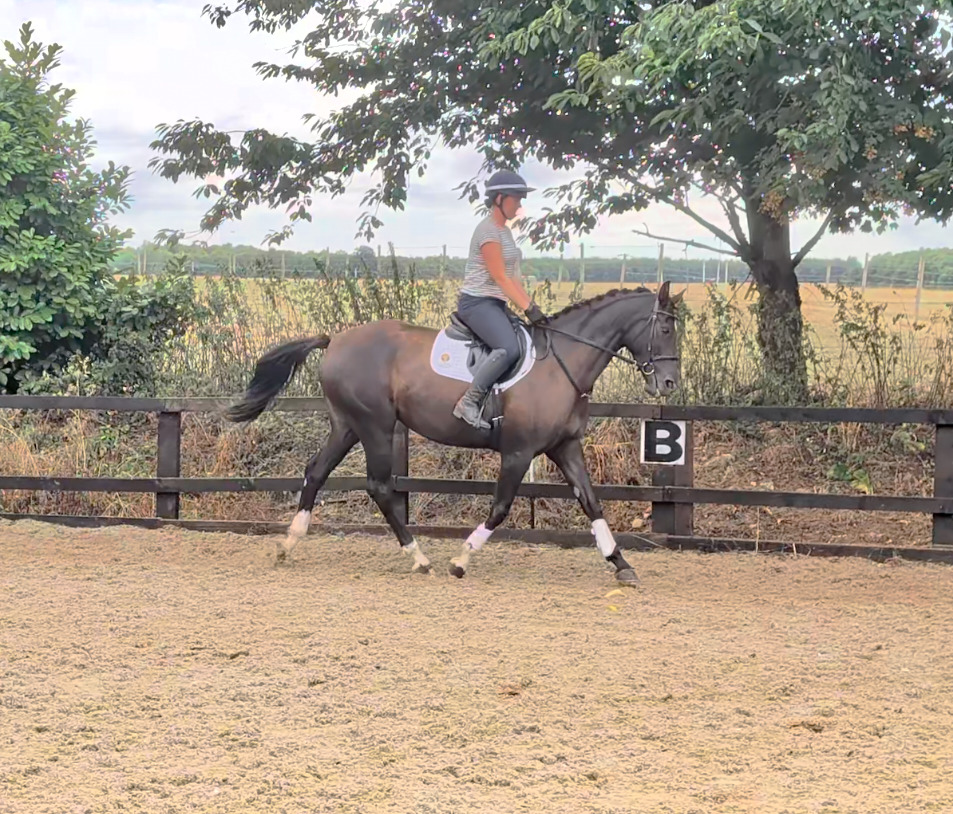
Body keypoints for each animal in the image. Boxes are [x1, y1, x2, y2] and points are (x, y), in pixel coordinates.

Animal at [224, 282, 683, 586]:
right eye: (665, 329)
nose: (668, 384)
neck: (561, 364)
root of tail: (335, 339)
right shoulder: (518, 452)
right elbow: (500, 507)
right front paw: (461, 560)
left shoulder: (564, 447)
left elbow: (592, 502)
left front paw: (621, 563)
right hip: (375, 425)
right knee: (379, 486)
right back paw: (419, 557)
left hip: (347, 425)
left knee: (316, 472)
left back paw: (288, 543)